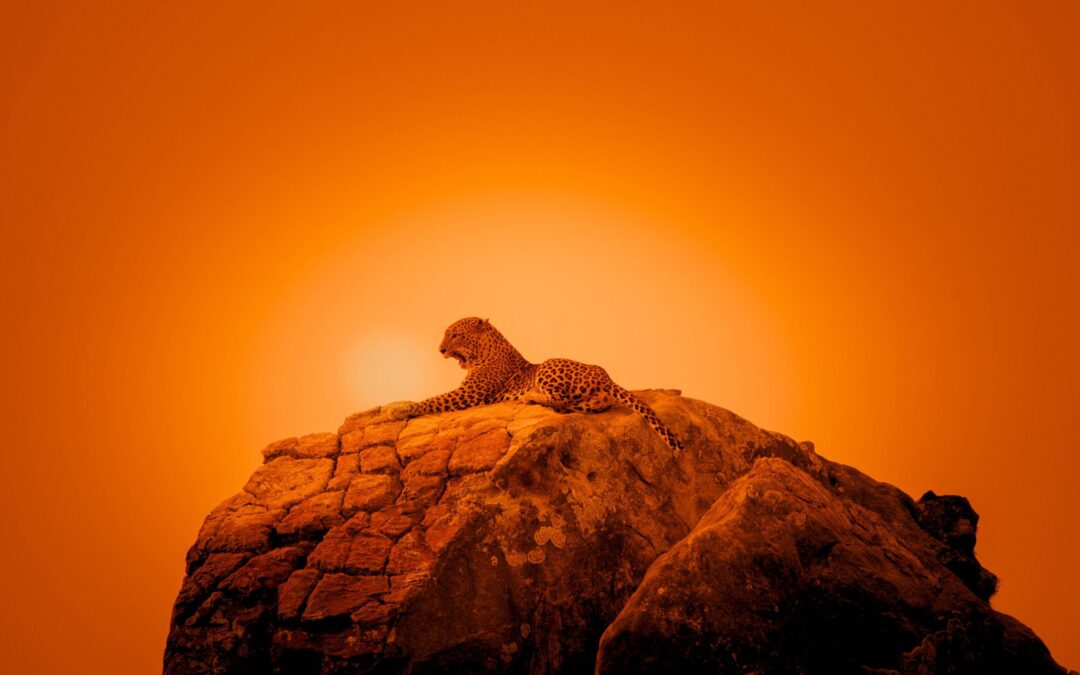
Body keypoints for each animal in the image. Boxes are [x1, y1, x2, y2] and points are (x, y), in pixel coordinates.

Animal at [383, 317, 683, 453]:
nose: (440, 350)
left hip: (551, 364)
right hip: (588, 401)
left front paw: (398, 409)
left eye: (455, 335)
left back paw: (530, 396)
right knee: (571, 405)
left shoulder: (468, 393)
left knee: (560, 399)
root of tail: (605, 376)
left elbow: (431, 399)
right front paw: (396, 405)